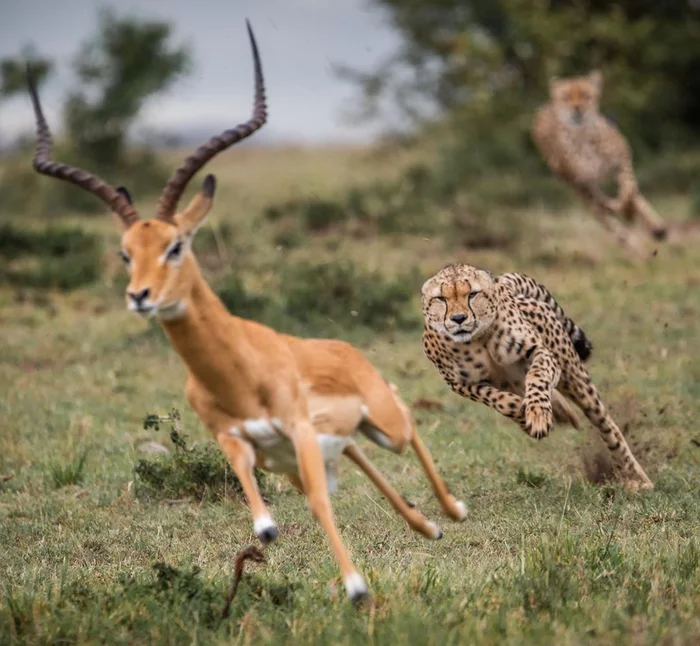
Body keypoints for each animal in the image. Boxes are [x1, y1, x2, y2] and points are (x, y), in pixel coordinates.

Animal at [422, 264, 656, 492]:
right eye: (441, 298)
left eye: (472, 294)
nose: (458, 319)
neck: (477, 340)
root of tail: (503, 283)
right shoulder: (462, 384)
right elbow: (498, 399)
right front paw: (524, 413)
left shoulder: (541, 352)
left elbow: (538, 377)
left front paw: (537, 414)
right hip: (515, 380)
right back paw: (561, 413)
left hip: (576, 379)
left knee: (607, 426)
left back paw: (638, 478)